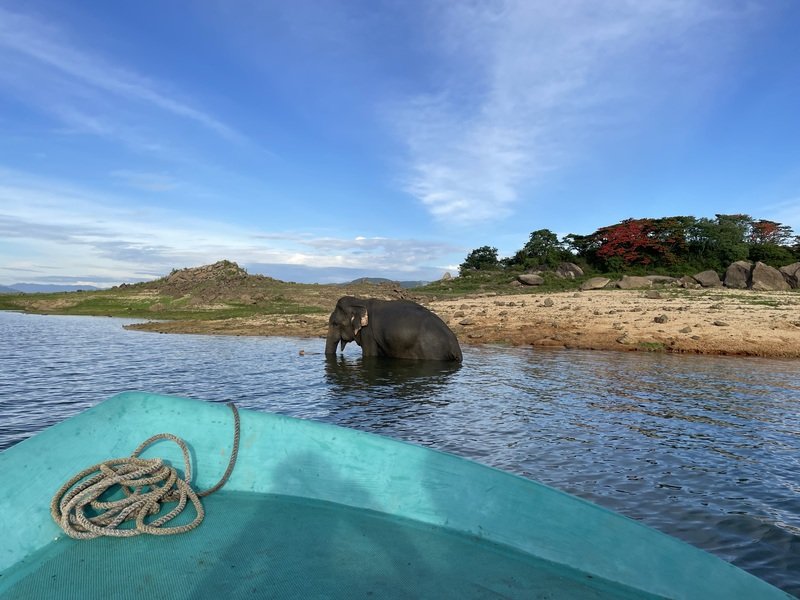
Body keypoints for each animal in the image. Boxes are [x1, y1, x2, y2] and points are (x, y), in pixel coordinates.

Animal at [325, 296, 462, 361]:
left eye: (335, 323)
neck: (360, 301)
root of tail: (455, 346)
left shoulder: (368, 333)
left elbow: (370, 355)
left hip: (431, 351)